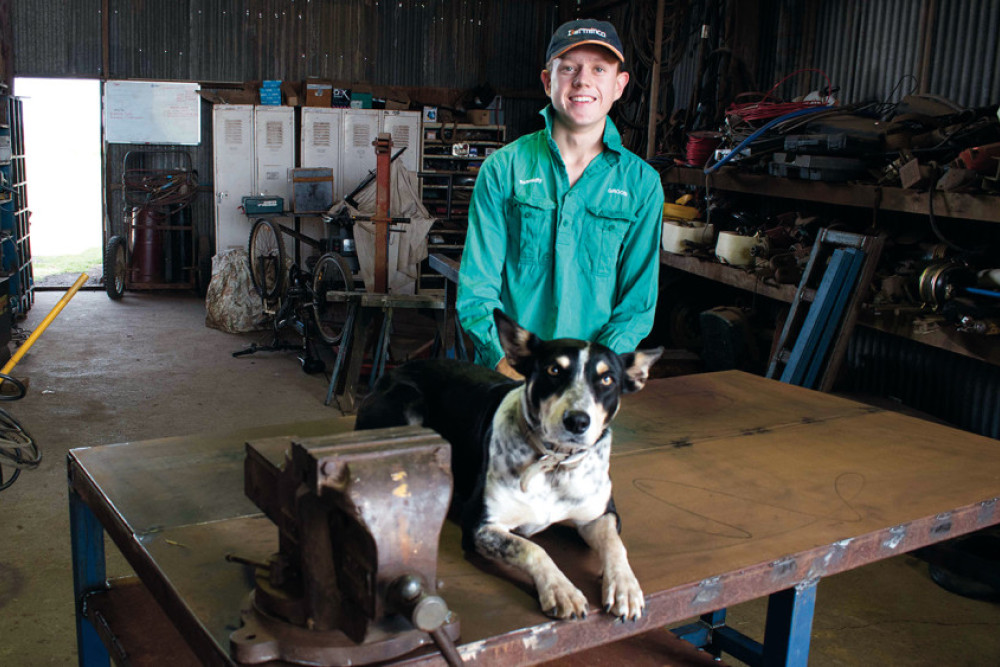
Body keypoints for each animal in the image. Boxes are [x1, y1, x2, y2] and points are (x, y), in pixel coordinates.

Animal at [356, 310, 660, 624]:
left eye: (608, 379)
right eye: (553, 370)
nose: (577, 421)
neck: (553, 464)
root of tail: (391, 372)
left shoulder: (600, 514)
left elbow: (615, 544)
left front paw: (625, 587)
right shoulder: (479, 525)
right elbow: (533, 548)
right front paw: (561, 590)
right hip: (409, 405)